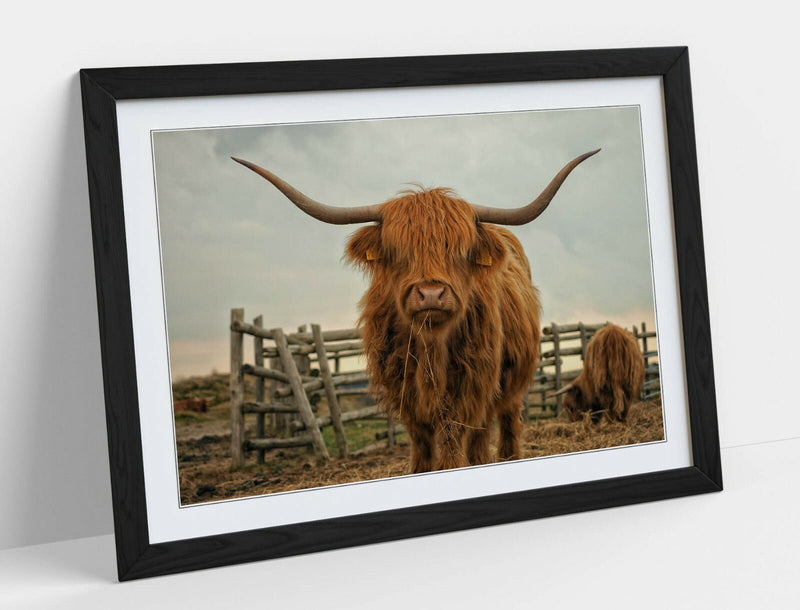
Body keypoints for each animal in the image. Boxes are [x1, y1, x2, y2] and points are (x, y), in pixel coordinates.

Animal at [233, 149, 599, 472]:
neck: (430, 348)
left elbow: (454, 442)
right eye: (398, 250)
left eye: (460, 250)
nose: (431, 294)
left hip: (511, 384)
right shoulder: (405, 397)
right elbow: (422, 447)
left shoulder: (468, 391)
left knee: (503, 427)